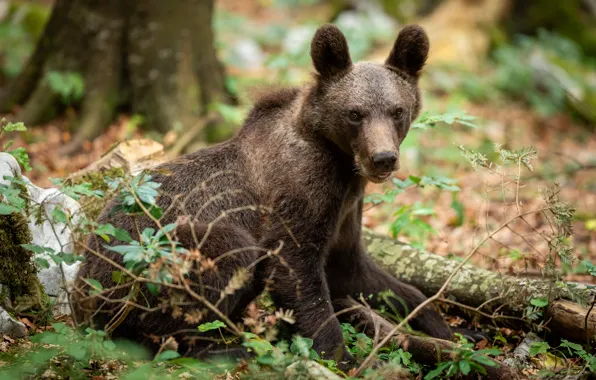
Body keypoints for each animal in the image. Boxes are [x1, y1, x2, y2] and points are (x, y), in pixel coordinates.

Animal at [74, 23, 472, 368]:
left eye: (397, 110)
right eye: (355, 113)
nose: (383, 158)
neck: (341, 166)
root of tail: (83, 290)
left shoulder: (345, 211)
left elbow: (360, 273)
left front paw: (449, 328)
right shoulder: (300, 196)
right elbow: (295, 269)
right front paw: (342, 357)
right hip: (152, 254)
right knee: (220, 266)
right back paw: (226, 348)